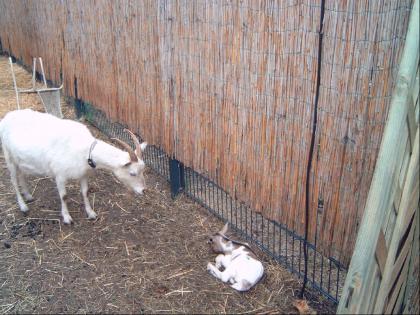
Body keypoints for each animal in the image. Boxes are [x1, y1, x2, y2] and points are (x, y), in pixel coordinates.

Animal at [0, 108, 148, 225]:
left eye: (143, 171)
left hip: (19, 159)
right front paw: (67, 218)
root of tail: (7, 117)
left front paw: (91, 213)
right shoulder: (59, 175)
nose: (143, 191)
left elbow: (85, 192)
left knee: (21, 174)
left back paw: (28, 195)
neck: (84, 149)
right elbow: (64, 196)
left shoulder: (83, 173)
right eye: (132, 173)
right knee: (13, 181)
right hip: (8, 156)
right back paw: (23, 206)